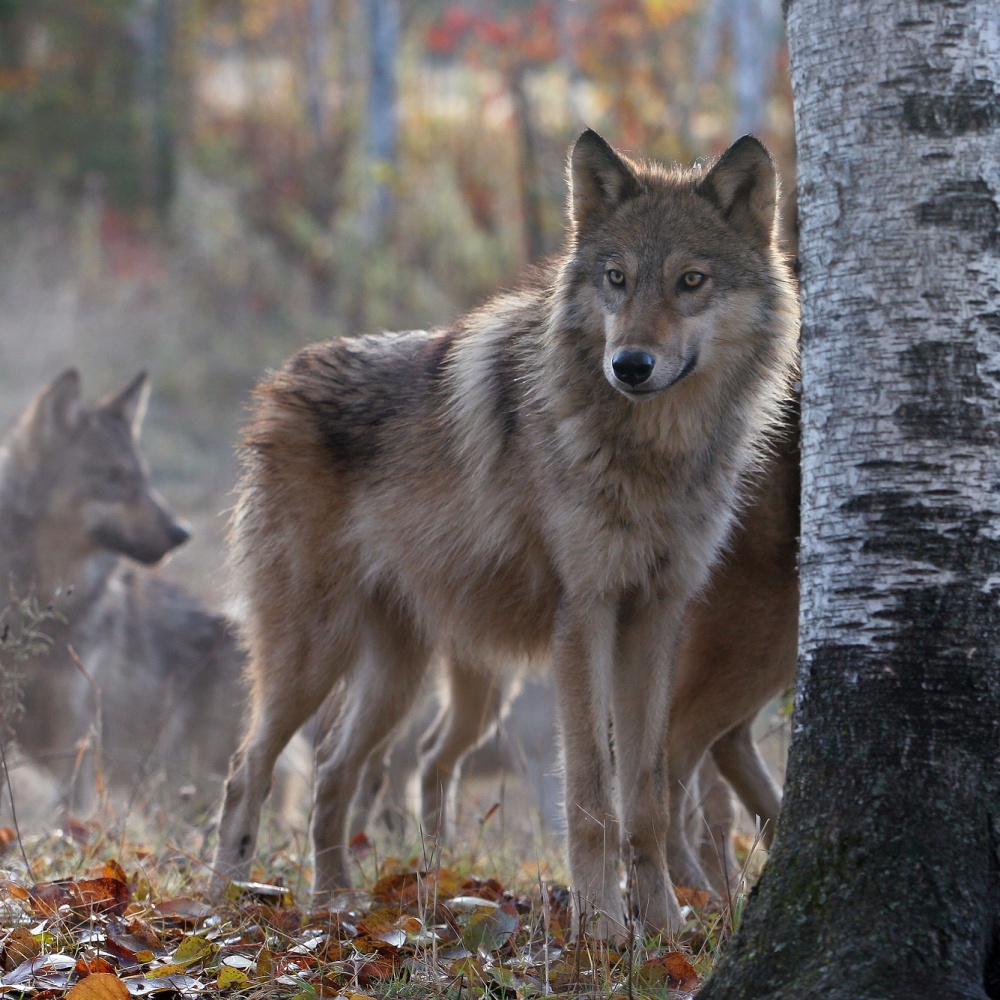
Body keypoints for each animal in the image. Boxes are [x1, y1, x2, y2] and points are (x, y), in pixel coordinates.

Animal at [0, 372, 248, 816]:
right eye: (113, 477)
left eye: (143, 478)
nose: (182, 532)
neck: (41, 596)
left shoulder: (75, 736)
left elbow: (71, 814)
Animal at [215, 127, 800, 936]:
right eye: (617, 278)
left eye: (691, 280)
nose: (630, 364)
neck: (653, 453)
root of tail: (281, 378)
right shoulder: (584, 618)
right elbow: (592, 799)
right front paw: (604, 933)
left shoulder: (655, 617)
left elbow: (648, 798)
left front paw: (666, 932)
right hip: (313, 655)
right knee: (247, 770)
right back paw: (219, 908)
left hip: (396, 676)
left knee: (334, 772)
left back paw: (337, 903)